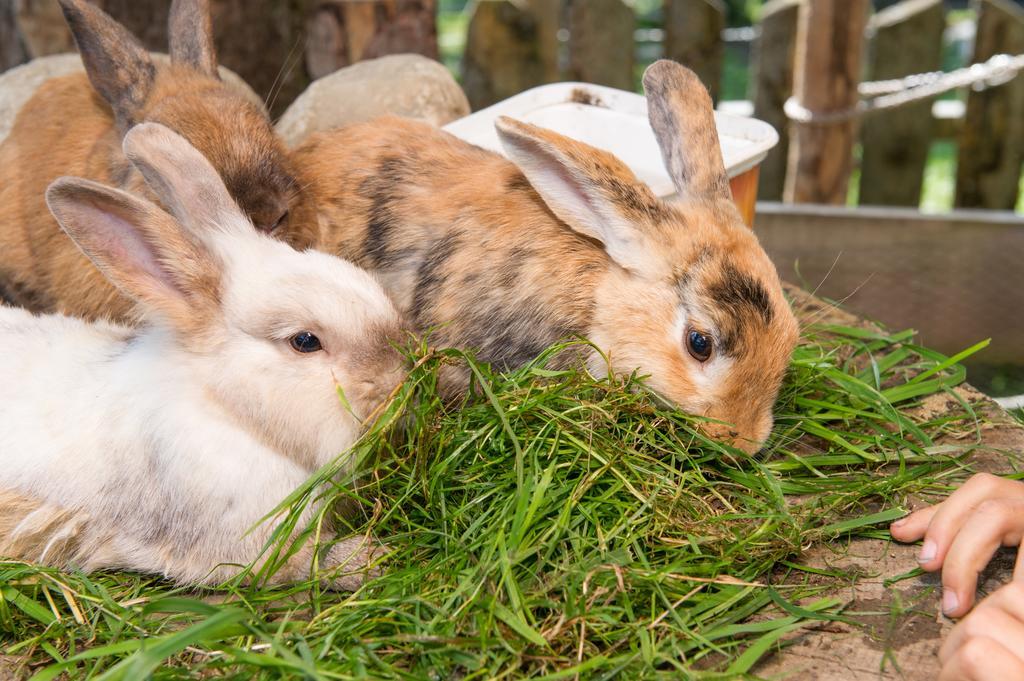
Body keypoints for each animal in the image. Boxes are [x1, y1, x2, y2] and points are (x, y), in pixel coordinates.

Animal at [0, 123, 405, 589]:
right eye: (304, 341)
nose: (399, 378)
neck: (227, 410)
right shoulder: (250, 544)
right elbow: (310, 559)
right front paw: (373, 558)